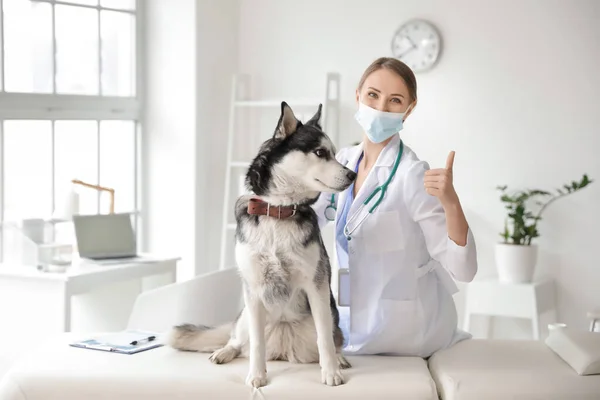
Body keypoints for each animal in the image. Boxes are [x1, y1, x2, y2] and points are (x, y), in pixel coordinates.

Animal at [166, 102, 356, 388]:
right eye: (320, 152)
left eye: (334, 154)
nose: (353, 174)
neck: (277, 212)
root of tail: (284, 340)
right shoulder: (254, 291)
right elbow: (256, 344)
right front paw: (256, 375)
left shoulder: (317, 287)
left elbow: (325, 339)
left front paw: (331, 372)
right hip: (246, 315)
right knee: (237, 340)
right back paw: (224, 351)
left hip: (331, 318)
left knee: (334, 339)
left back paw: (341, 358)